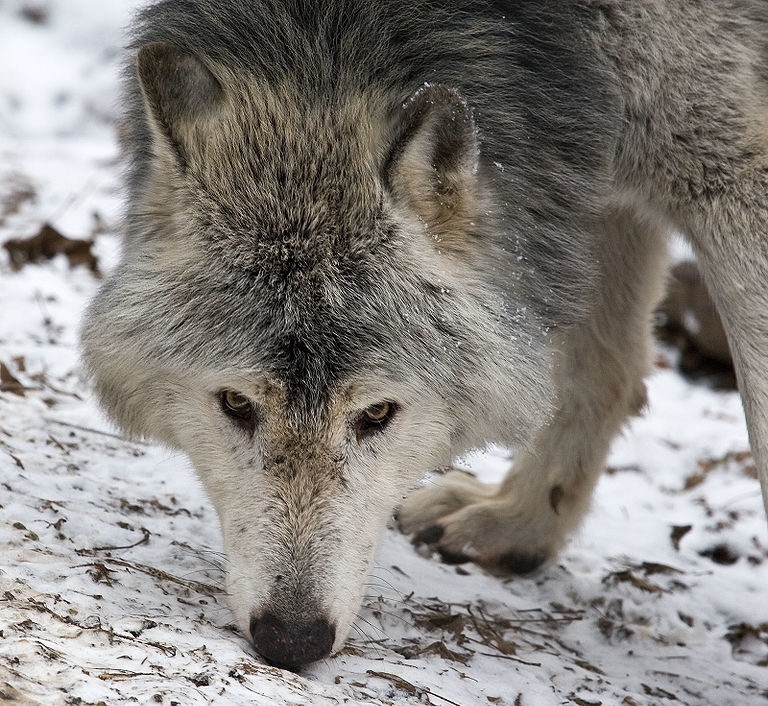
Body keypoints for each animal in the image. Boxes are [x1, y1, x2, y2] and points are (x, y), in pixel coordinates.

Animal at [79, 0, 768, 668]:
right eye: (236, 404)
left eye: (378, 413)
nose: (292, 639)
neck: (548, 30)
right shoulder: (582, 169)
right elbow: (596, 370)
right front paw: (522, 526)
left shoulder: (732, 171)